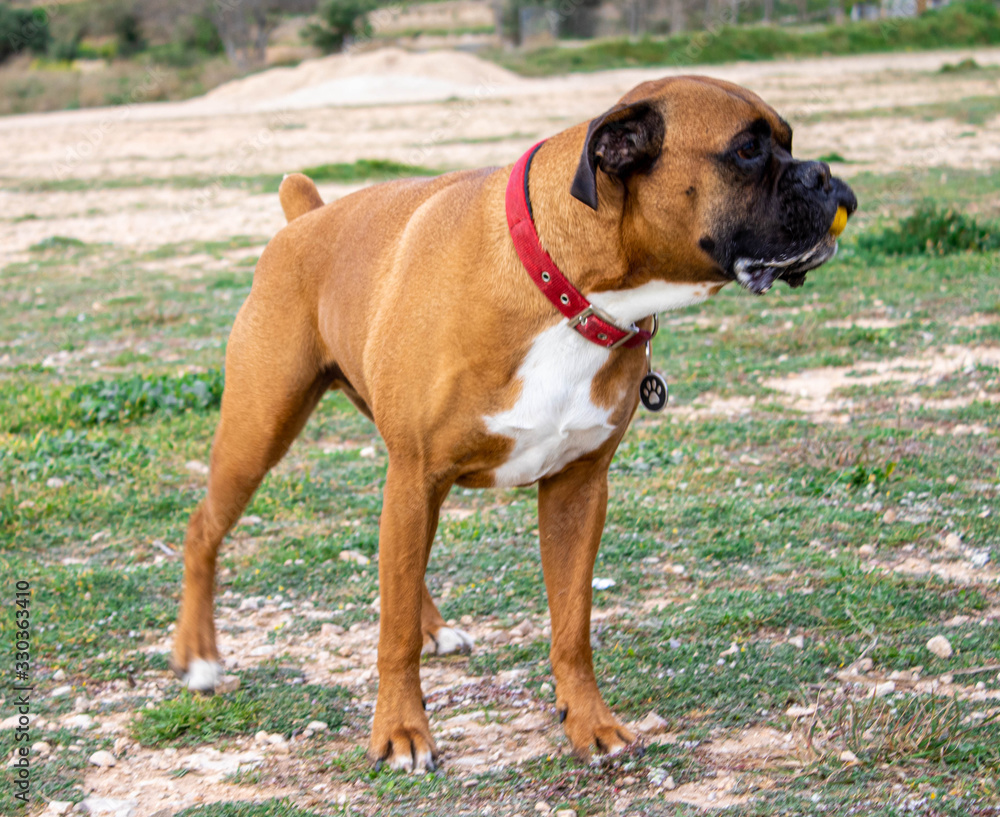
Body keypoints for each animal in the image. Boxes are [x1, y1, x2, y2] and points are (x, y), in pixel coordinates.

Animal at [168, 76, 856, 772]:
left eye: (790, 141)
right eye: (746, 150)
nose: (826, 174)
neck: (569, 286)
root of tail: (305, 217)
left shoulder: (577, 488)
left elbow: (571, 625)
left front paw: (589, 724)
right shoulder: (420, 473)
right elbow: (393, 636)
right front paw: (401, 730)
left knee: (395, 563)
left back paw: (434, 627)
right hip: (262, 432)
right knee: (204, 530)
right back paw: (198, 659)